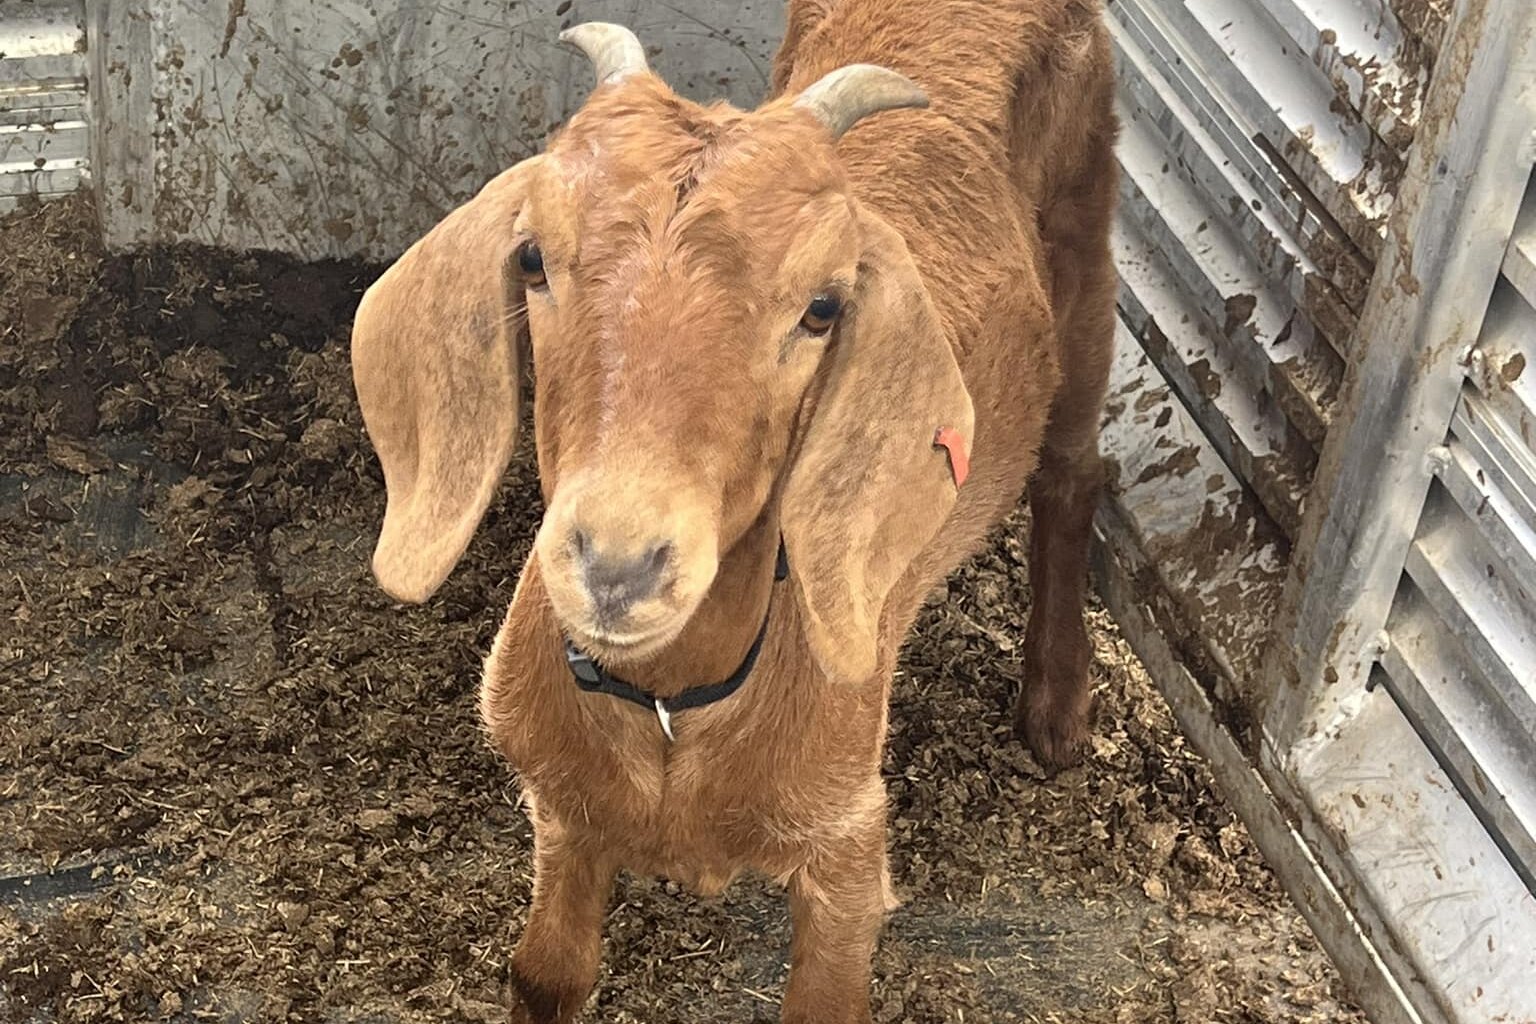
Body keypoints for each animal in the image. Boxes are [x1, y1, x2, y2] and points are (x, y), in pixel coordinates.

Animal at [348, 4, 1118, 1019]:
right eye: (534, 258)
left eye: (823, 307)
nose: (618, 562)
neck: (675, 705)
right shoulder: (563, 815)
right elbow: (546, 976)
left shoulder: (846, 851)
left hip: (1087, 244)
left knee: (1073, 471)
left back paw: (1058, 714)